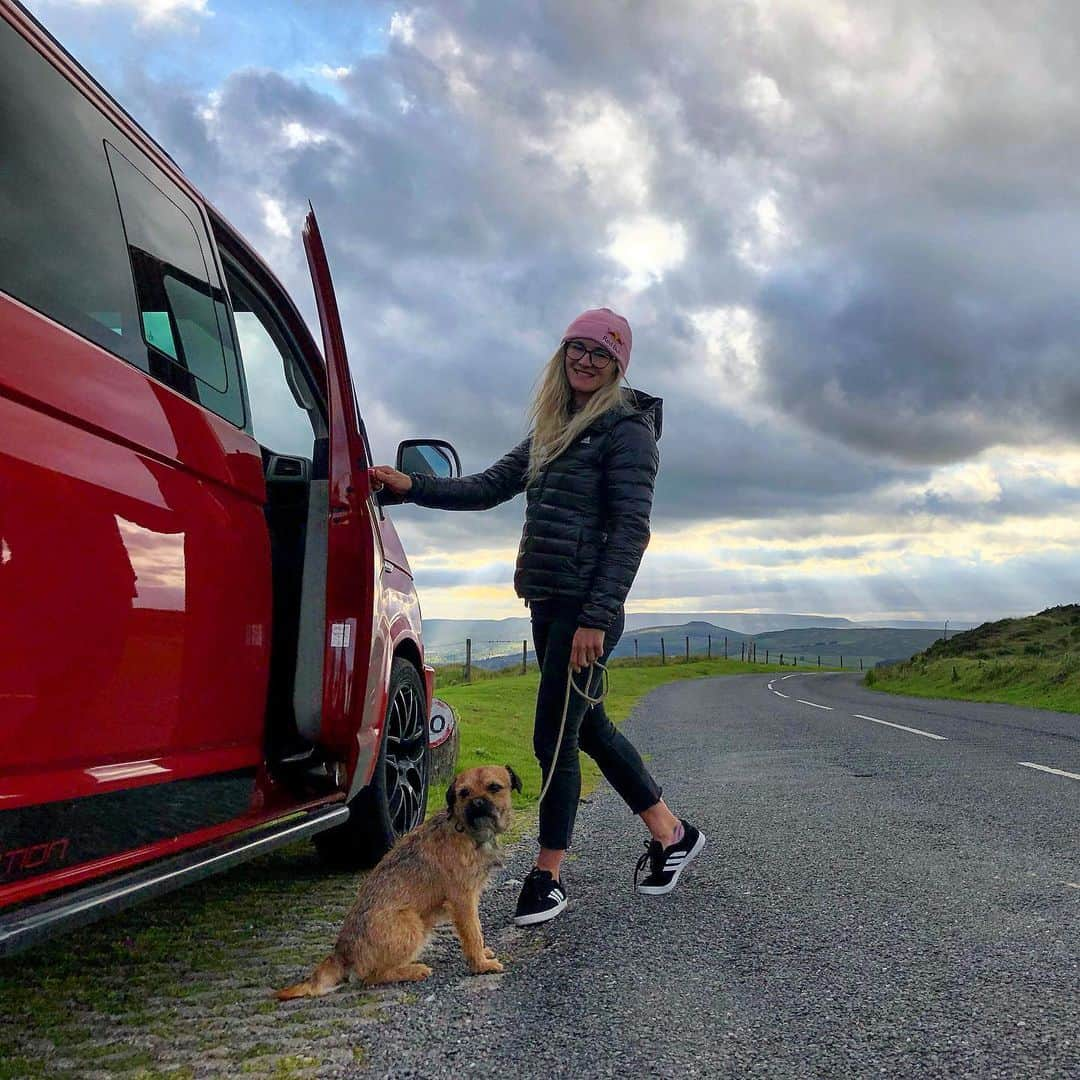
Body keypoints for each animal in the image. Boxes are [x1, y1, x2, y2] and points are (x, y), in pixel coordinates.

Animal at [274, 764, 518, 997]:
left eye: (494, 787)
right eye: (464, 793)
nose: (477, 803)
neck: (465, 830)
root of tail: (341, 953)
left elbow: (477, 930)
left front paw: (482, 954)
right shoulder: (462, 900)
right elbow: (472, 933)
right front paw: (481, 964)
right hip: (412, 924)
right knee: (371, 976)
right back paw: (413, 970)